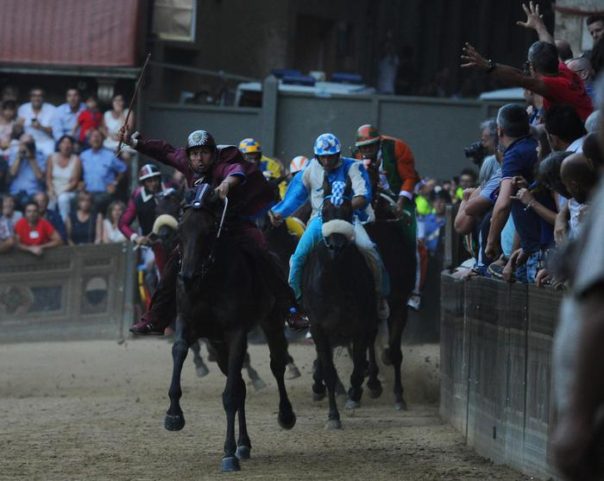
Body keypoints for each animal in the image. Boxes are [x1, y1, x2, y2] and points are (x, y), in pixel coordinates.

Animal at [164, 184, 296, 472]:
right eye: (181, 230)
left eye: (208, 230)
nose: (187, 277)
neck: (208, 278)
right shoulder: (188, 322)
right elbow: (179, 349)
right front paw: (174, 415)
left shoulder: (236, 332)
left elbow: (230, 395)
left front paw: (227, 454)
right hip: (219, 344)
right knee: (241, 384)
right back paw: (243, 444)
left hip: (271, 320)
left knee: (276, 365)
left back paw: (285, 414)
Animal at [302, 175, 377, 429]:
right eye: (324, 211)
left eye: (348, 210)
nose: (336, 246)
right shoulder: (319, 327)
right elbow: (328, 371)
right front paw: (333, 416)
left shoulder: (360, 325)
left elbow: (357, 367)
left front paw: (354, 395)